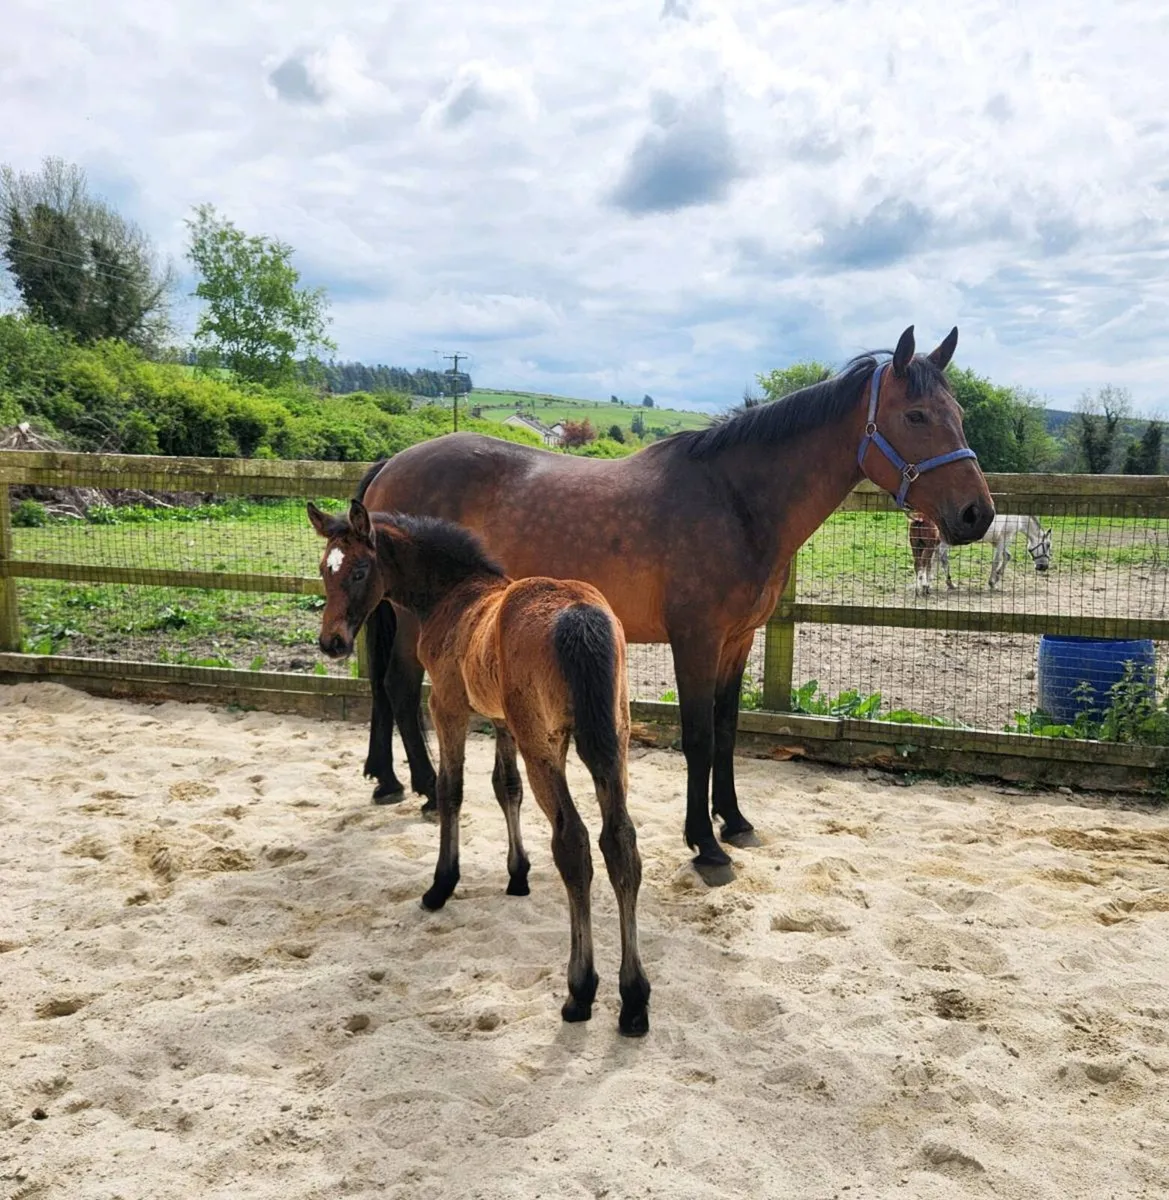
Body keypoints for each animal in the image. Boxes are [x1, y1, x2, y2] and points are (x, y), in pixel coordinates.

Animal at [308, 499, 651, 1037]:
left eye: (359, 570)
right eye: (326, 569)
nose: (332, 643)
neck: (454, 594)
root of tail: (578, 616)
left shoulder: (447, 706)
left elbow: (452, 789)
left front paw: (441, 884)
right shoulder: (502, 720)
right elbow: (505, 787)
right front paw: (517, 875)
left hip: (545, 744)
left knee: (573, 843)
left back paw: (580, 991)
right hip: (612, 739)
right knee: (621, 843)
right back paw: (634, 999)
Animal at [351, 325, 994, 879]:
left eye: (959, 416)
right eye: (915, 415)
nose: (976, 514)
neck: (736, 501)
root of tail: (392, 463)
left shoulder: (738, 640)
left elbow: (728, 730)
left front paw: (733, 820)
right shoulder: (696, 640)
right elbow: (699, 737)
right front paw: (704, 843)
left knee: (392, 688)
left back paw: (396, 781)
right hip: (417, 617)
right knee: (402, 686)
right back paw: (426, 789)